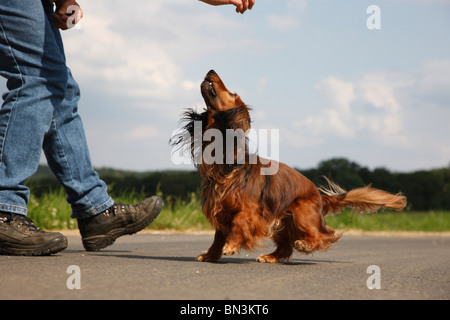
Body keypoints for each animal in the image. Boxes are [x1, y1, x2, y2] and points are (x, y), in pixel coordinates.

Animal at [171, 71, 406, 264]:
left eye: (232, 92)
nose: (211, 70)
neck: (227, 163)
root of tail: (320, 196)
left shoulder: (251, 209)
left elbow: (238, 223)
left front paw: (231, 245)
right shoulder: (220, 208)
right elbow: (218, 236)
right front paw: (211, 255)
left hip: (300, 212)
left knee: (322, 236)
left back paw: (306, 243)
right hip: (284, 221)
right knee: (286, 247)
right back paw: (270, 256)